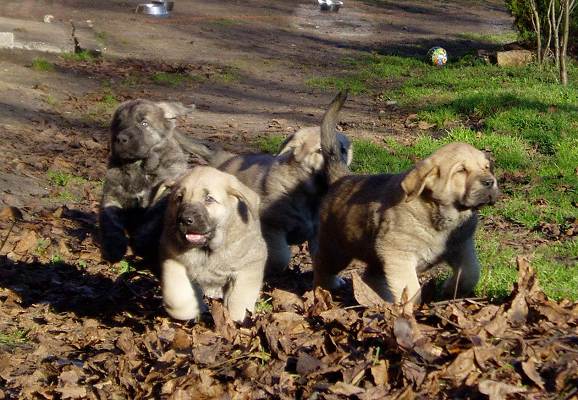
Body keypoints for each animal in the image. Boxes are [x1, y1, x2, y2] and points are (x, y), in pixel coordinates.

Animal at [312, 100, 498, 304]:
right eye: (461, 171)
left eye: (486, 167)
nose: (490, 182)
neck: (442, 216)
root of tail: (342, 178)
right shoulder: (398, 255)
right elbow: (411, 289)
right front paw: (409, 309)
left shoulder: (462, 247)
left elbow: (471, 272)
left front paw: (450, 289)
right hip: (337, 250)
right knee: (321, 265)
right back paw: (324, 289)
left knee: (370, 277)